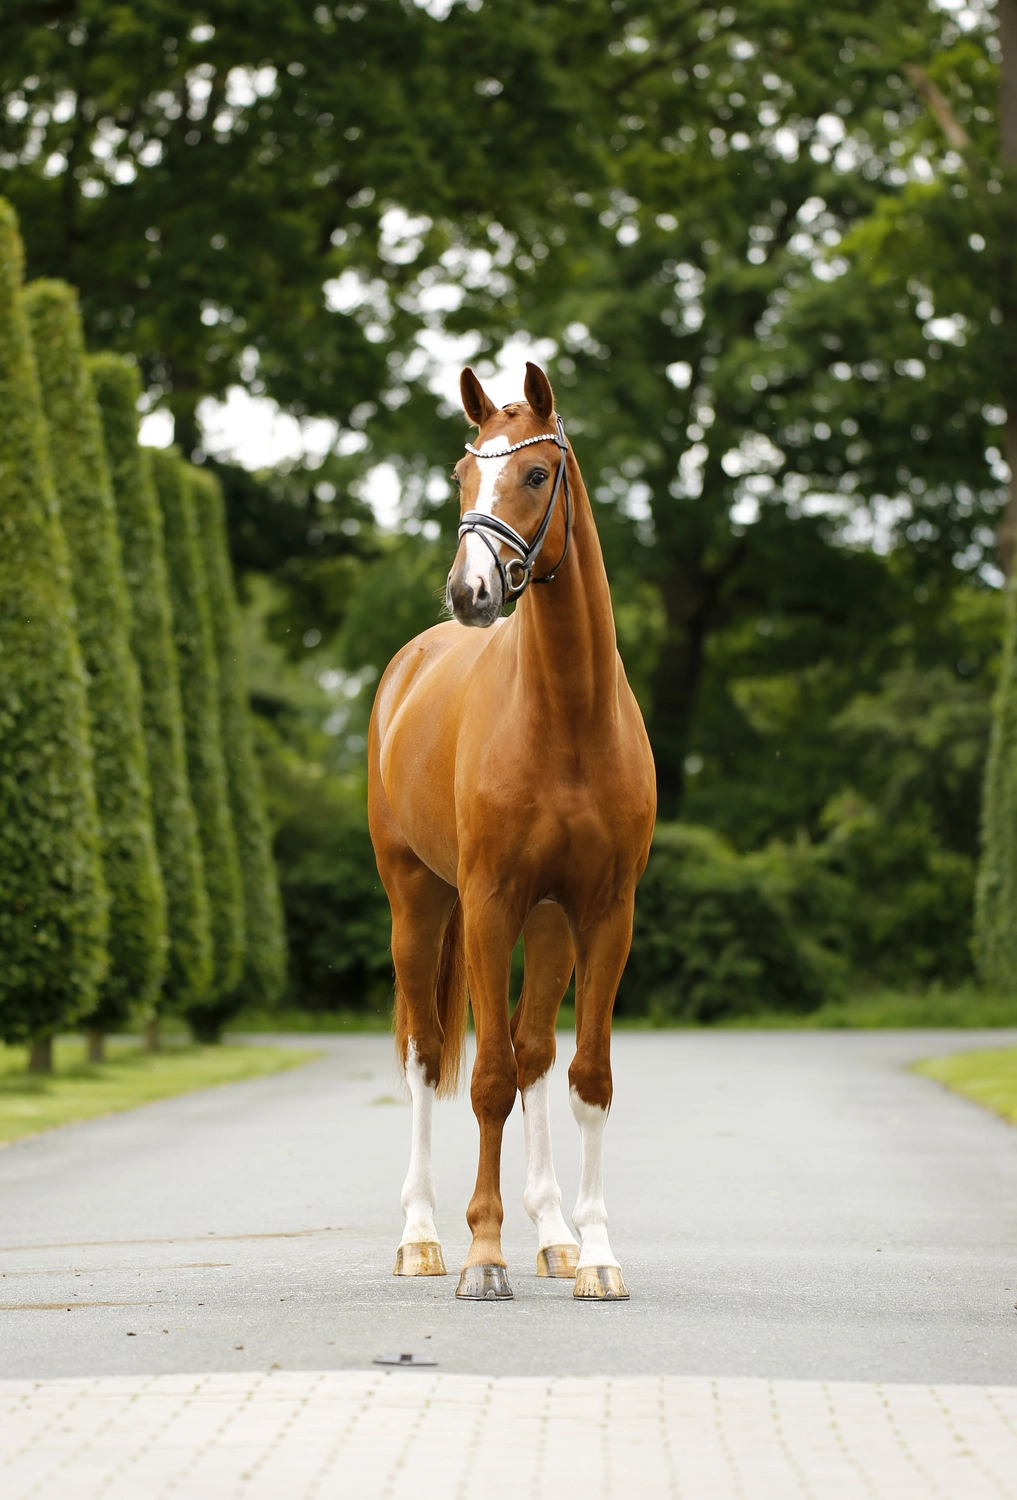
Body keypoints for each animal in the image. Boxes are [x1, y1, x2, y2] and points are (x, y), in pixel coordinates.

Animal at [367, 362, 656, 1300]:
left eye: (534, 473)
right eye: (464, 474)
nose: (471, 592)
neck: (566, 715)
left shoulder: (602, 913)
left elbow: (584, 1077)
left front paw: (593, 1255)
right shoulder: (489, 905)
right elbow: (486, 1076)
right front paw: (483, 1255)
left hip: (549, 922)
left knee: (533, 1052)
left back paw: (552, 1235)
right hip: (419, 904)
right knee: (428, 1056)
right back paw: (422, 1238)